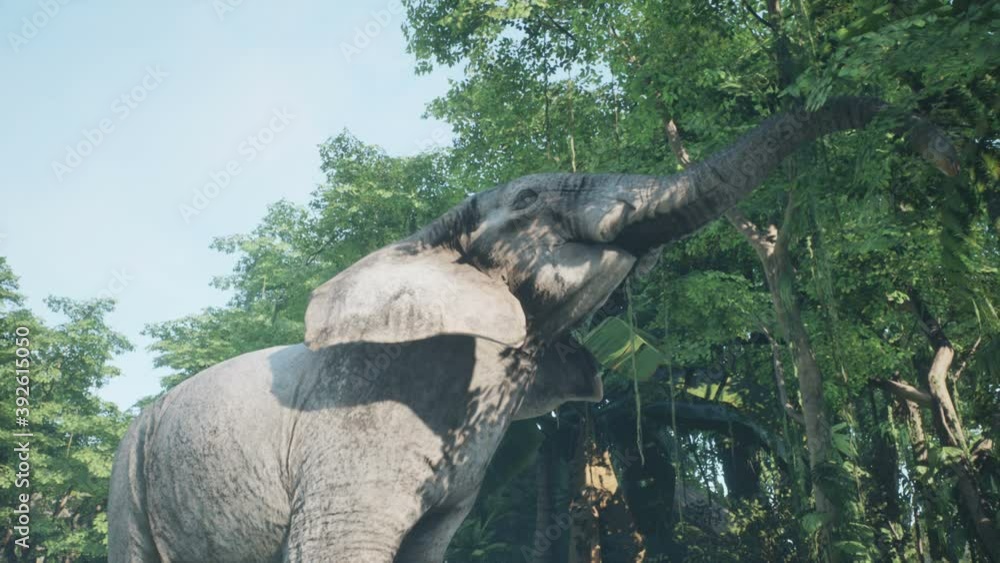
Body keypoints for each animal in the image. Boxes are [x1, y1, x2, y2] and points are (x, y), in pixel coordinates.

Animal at [108, 97, 958, 563]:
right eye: (528, 201)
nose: (940, 138)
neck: (423, 235)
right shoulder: (353, 424)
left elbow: (428, 546)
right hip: (128, 478)